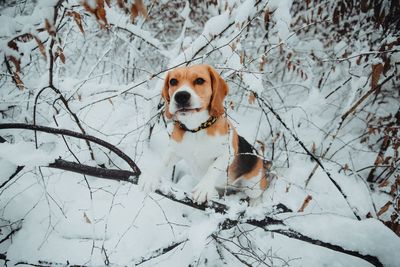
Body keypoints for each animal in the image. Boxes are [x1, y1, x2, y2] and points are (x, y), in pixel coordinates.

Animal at [140, 65, 268, 205]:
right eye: (173, 81)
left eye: (200, 80)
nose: (181, 96)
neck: (196, 129)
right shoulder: (174, 150)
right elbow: (163, 162)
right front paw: (150, 177)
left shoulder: (228, 153)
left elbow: (213, 167)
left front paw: (203, 189)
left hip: (253, 185)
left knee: (259, 192)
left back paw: (255, 203)